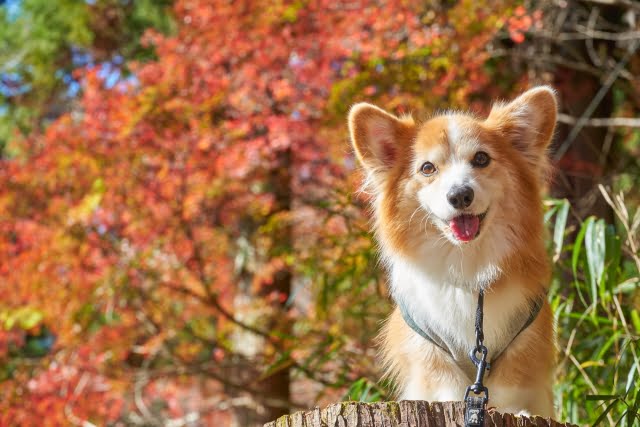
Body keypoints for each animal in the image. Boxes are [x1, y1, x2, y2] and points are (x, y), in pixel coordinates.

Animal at [348, 88, 556, 418]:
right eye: (427, 168)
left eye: (481, 158)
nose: (459, 195)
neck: (465, 260)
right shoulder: (427, 347)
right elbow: (446, 383)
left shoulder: (524, 340)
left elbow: (510, 385)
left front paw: (516, 411)